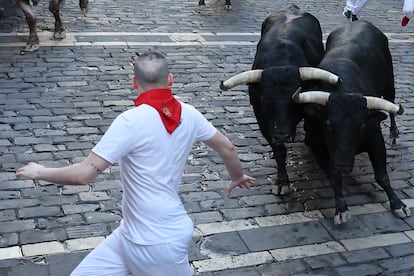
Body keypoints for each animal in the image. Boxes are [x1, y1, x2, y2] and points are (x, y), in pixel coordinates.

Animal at [220, 4, 340, 194]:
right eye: (264, 100)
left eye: (296, 102)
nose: (282, 134)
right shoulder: (263, 120)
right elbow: (279, 151)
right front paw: (282, 182)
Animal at [292, 21, 412, 224]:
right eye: (328, 124)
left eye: (361, 125)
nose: (343, 165)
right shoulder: (317, 145)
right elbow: (333, 177)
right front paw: (341, 208)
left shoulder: (376, 140)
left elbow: (382, 176)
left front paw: (398, 204)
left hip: (390, 82)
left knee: (392, 107)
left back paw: (394, 134)